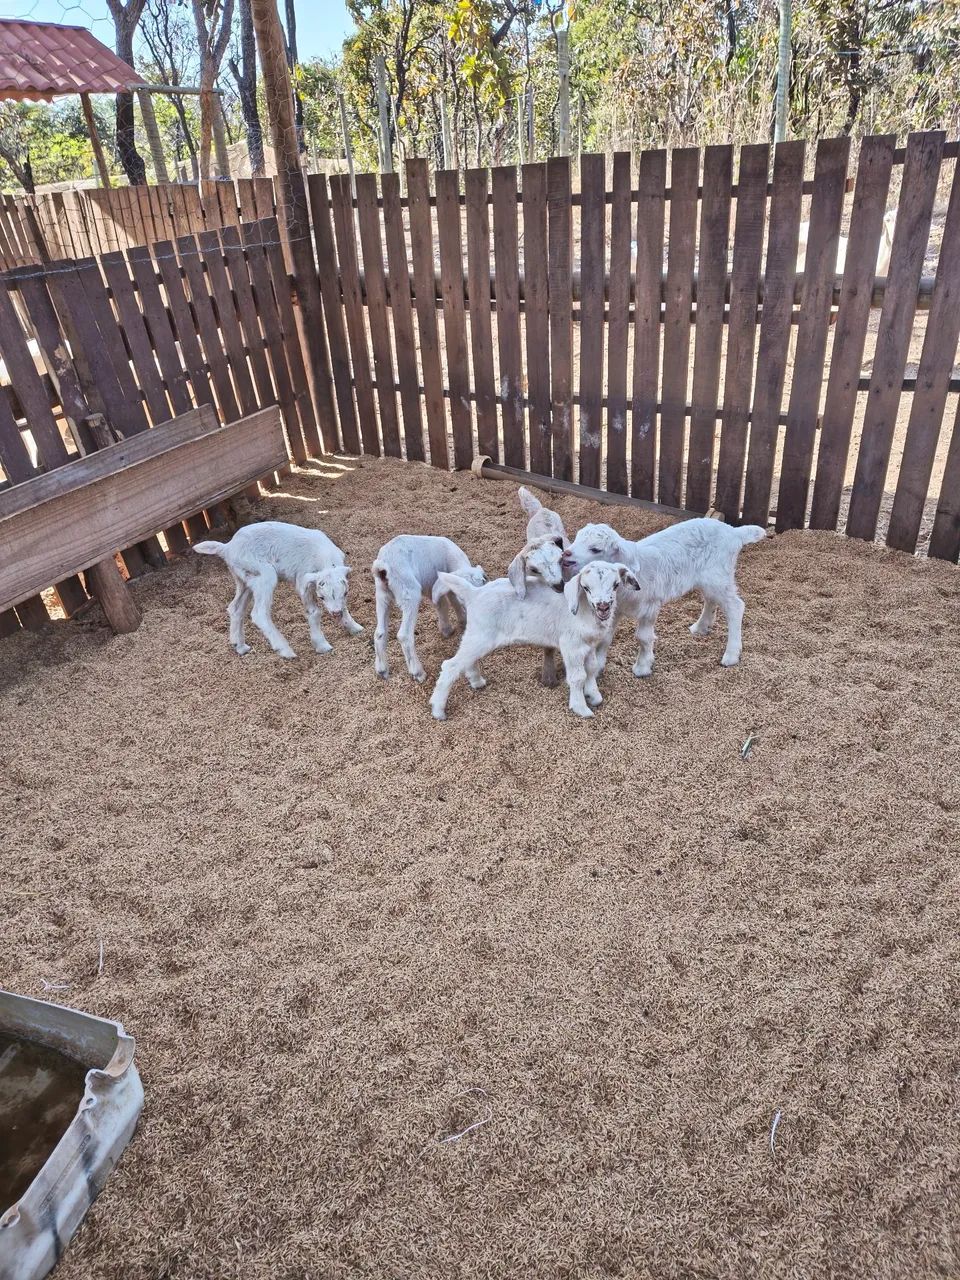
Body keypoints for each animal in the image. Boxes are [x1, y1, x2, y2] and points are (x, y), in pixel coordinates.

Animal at [194, 521, 363, 659]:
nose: (335, 613)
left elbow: (344, 607)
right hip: (263, 573)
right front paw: (322, 645)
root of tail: (227, 547)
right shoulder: (303, 581)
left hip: (244, 578)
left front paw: (355, 628)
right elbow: (314, 612)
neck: (326, 560)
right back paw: (284, 650)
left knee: (235, 608)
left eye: (346, 593)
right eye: (321, 597)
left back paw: (240, 646)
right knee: (259, 613)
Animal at [371, 534, 485, 682]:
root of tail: (383, 565)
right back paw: (418, 673)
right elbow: (449, 602)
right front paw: (457, 625)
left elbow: (443, 603)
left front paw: (449, 628)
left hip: (382, 595)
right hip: (409, 592)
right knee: (404, 635)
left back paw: (382, 670)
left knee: (379, 633)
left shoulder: (435, 587)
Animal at [429, 561, 635, 720]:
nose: (603, 606)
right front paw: (581, 708)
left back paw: (477, 682)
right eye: (586, 587)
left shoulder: (590, 645)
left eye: (616, 585)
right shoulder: (571, 646)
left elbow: (591, 668)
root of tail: (474, 593)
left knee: (466, 660)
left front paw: (594, 696)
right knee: (450, 665)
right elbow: (578, 677)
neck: (585, 610)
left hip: (477, 634)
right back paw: (438, 710)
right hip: (481, 635)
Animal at [563, 518, 767, 677]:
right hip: (709, 579)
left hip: (718, 575)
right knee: (711, 599)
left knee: (735, 606)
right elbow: (605, 638)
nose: (566, 554)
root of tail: (734, 532)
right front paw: (597, 667)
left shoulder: (650, 605)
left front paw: (642, 667)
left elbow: (643, 637)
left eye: (595, 549)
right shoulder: (614, 608)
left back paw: (731, 654)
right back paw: (701, 627)